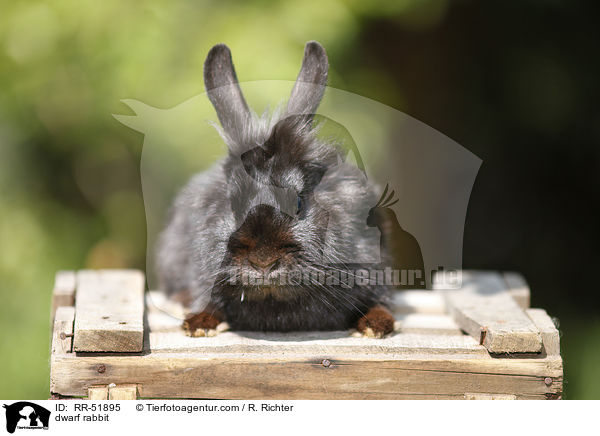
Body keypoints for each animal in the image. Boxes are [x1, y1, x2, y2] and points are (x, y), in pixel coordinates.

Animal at [157, 41, 396, 338]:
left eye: (299, 204)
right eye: (233, 204)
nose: (263, 261)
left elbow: (380, 302)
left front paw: (376, 326)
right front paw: (197, 324)